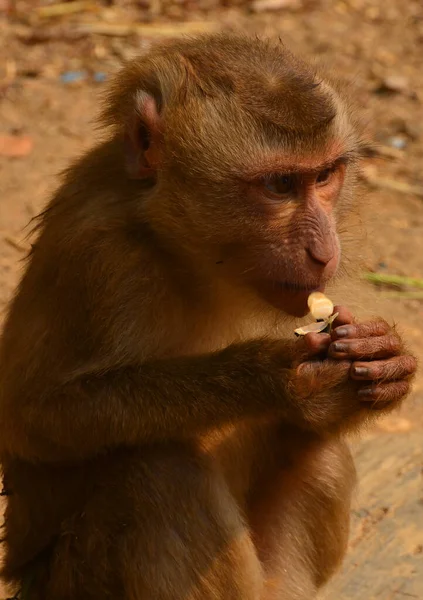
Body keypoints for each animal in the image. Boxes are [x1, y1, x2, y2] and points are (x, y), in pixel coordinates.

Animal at [0, 34, 418, 600]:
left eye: (324, 175)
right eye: (280, 185)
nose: (324, 252)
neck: (182, 252)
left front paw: (384, 360)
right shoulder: (97, 257)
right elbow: (35, 418)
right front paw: (268, 376)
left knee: (321, 453)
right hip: (69, 583)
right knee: (158, 471)